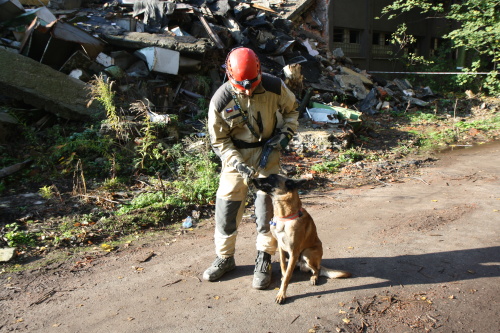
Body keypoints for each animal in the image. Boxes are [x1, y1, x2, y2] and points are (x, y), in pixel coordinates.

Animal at [252, 174, 350, 304]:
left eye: (272, 177)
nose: (252, 179)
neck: (285, 217)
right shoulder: (281, 248)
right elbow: (284, 268)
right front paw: (283, 277)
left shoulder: (294, 251)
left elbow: (287, 277)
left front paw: (281, 294)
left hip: (306, 254)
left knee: (317, 269)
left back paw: (314, 277)